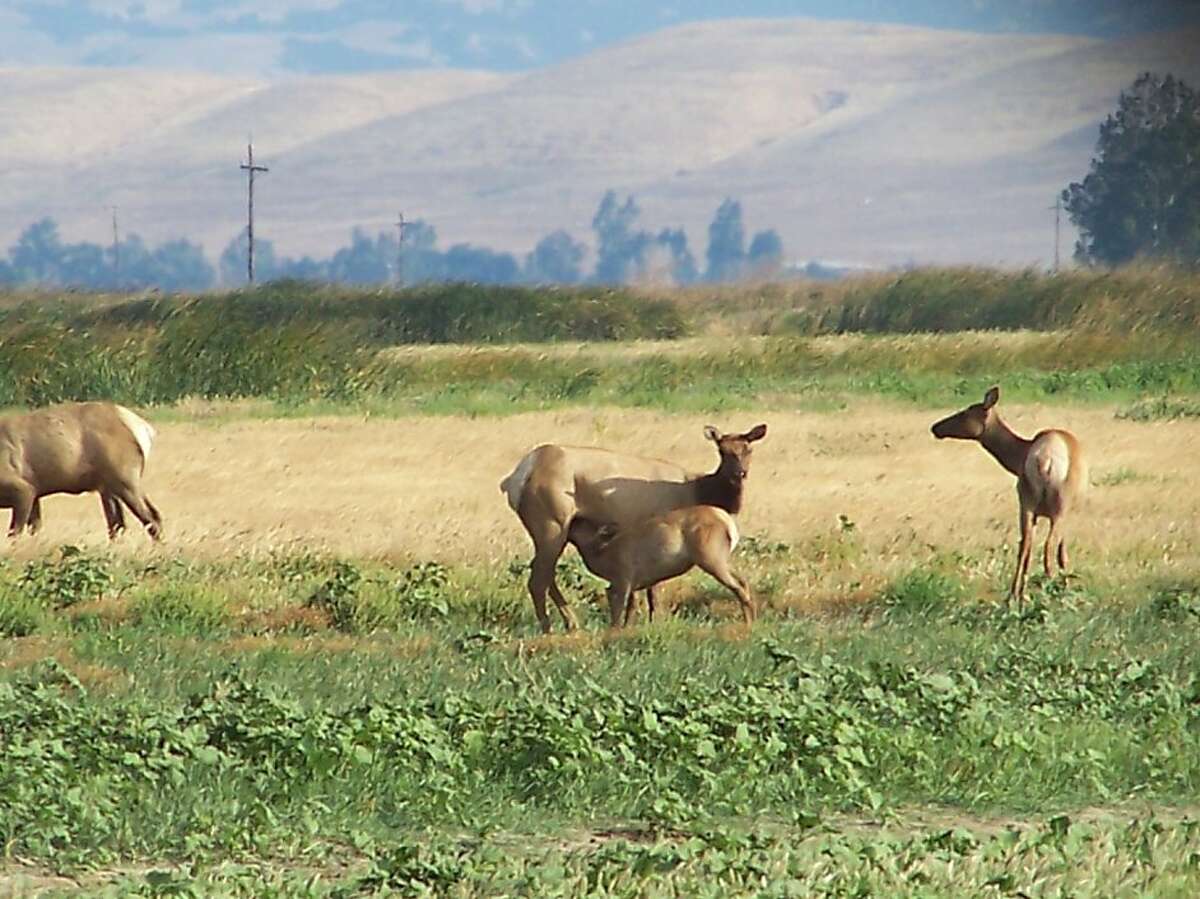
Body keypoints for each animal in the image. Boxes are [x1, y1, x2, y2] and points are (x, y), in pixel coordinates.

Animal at [0, 400, 164, 540]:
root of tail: (145, 429)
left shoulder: (24, 490)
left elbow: (14, 533)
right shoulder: (35, 491)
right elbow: (35, 528)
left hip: (124, 478)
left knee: (150, 517)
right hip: (109, 486)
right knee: (118, 524)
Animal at [566, 501, 753, 628]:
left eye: (576, 522)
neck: (602, 552)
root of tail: (727, 522)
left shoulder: (622, 580)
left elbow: (618, 612)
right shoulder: (635, 584)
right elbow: (633, 610)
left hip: (710, 559)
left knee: (738, 587)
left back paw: (748, 623)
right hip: (721, 559)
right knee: (743, 581)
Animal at [931, 384, 1094, 600]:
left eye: (964, 412)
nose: (935, 428)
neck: (1018, 457)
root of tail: (1044, 459)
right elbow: (1063, 554)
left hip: (1026, 501)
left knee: (1025, 545)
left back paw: (1015, 595)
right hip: (1059, 506)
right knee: (1047, 547)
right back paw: (1048, 591)